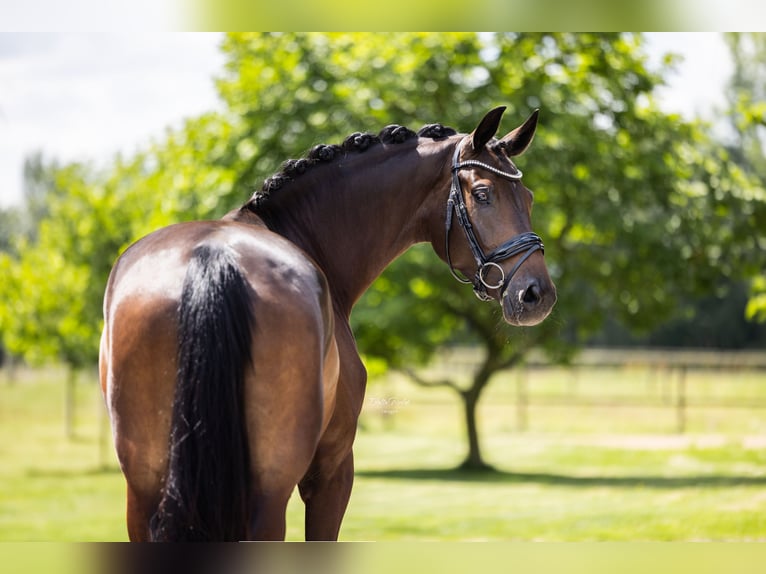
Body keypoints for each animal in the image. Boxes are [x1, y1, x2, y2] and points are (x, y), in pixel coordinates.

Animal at [100, 106, 560, 544]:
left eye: (529, 197)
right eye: (482, 194)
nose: (537, 294)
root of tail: (212, 256)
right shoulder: (333, 468)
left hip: (144, 491)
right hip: (269, 489)